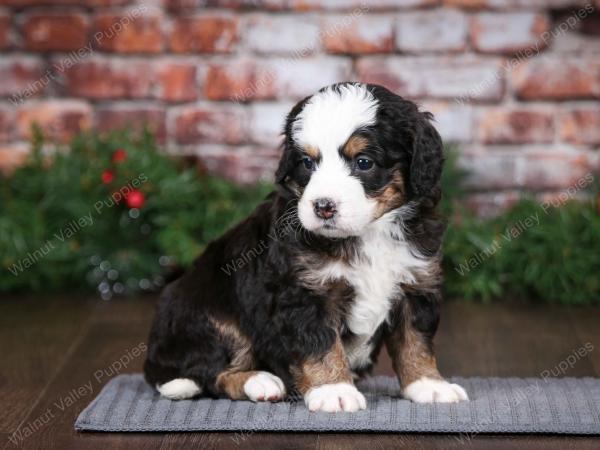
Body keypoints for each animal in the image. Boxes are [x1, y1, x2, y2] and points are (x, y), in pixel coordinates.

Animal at [144, 81, 468, 412]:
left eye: (363, 162)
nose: (323, 207)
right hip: (209, 313)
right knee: (210, 372)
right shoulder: (305, 291)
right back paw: (259, 381)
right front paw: (334, 390)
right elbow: (321, 344)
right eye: (307, 162)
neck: (369, 233)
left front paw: (428, 384)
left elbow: (415, 340)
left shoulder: (416, 283)